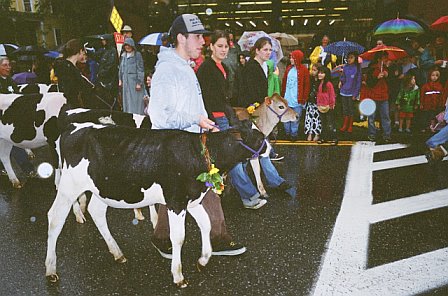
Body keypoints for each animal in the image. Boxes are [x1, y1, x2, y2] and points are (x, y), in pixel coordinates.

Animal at [45, 119, 266, 288]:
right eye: (259, 138)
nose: (269, 149)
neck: (198, 153)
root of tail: (72, 127)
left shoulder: (192, 200)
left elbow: (206, 224)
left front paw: (203, 260)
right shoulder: (176, 202)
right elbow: (178, 238)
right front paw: (178, 276)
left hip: (103, 189)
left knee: (96, 212)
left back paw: (118, 254)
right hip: (68, 187)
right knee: (54, 219)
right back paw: (51, 269)